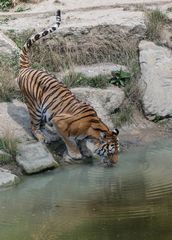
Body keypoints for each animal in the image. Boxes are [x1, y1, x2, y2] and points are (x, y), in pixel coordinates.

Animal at [17, 10, 119, 166]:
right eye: (111, 152)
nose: (115, 163)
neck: (92, 129)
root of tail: (27, 68)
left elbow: (82, 142)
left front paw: (86, 151)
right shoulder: (59, 122)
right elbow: (70, 142)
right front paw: (75, 154)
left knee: (41, 125)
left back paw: (49, 135)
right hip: (34, 107)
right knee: (34, 126)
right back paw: (42, 138)